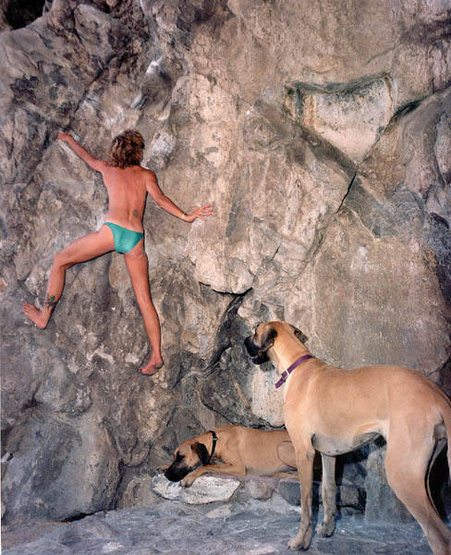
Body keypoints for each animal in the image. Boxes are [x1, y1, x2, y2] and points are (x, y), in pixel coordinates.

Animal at [164, 426, 298, 486]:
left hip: (282, 447)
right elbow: (210, 464)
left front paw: (189, 477)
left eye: (181, 457)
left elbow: (205, 466)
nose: (166, 475)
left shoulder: (238, 468)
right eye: (175, 457)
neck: (216, 440)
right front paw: (164, 466)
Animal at [247, 322, 451, 555]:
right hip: (422, 479)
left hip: (402, 475)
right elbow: (328, 491)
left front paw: (301, 542)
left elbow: (307, 503)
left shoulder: (303, 452)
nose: (244, 342)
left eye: (254, 331)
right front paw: (327, 529)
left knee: (439, 537)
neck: (296, 365)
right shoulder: (327, 454)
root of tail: (436, 394)